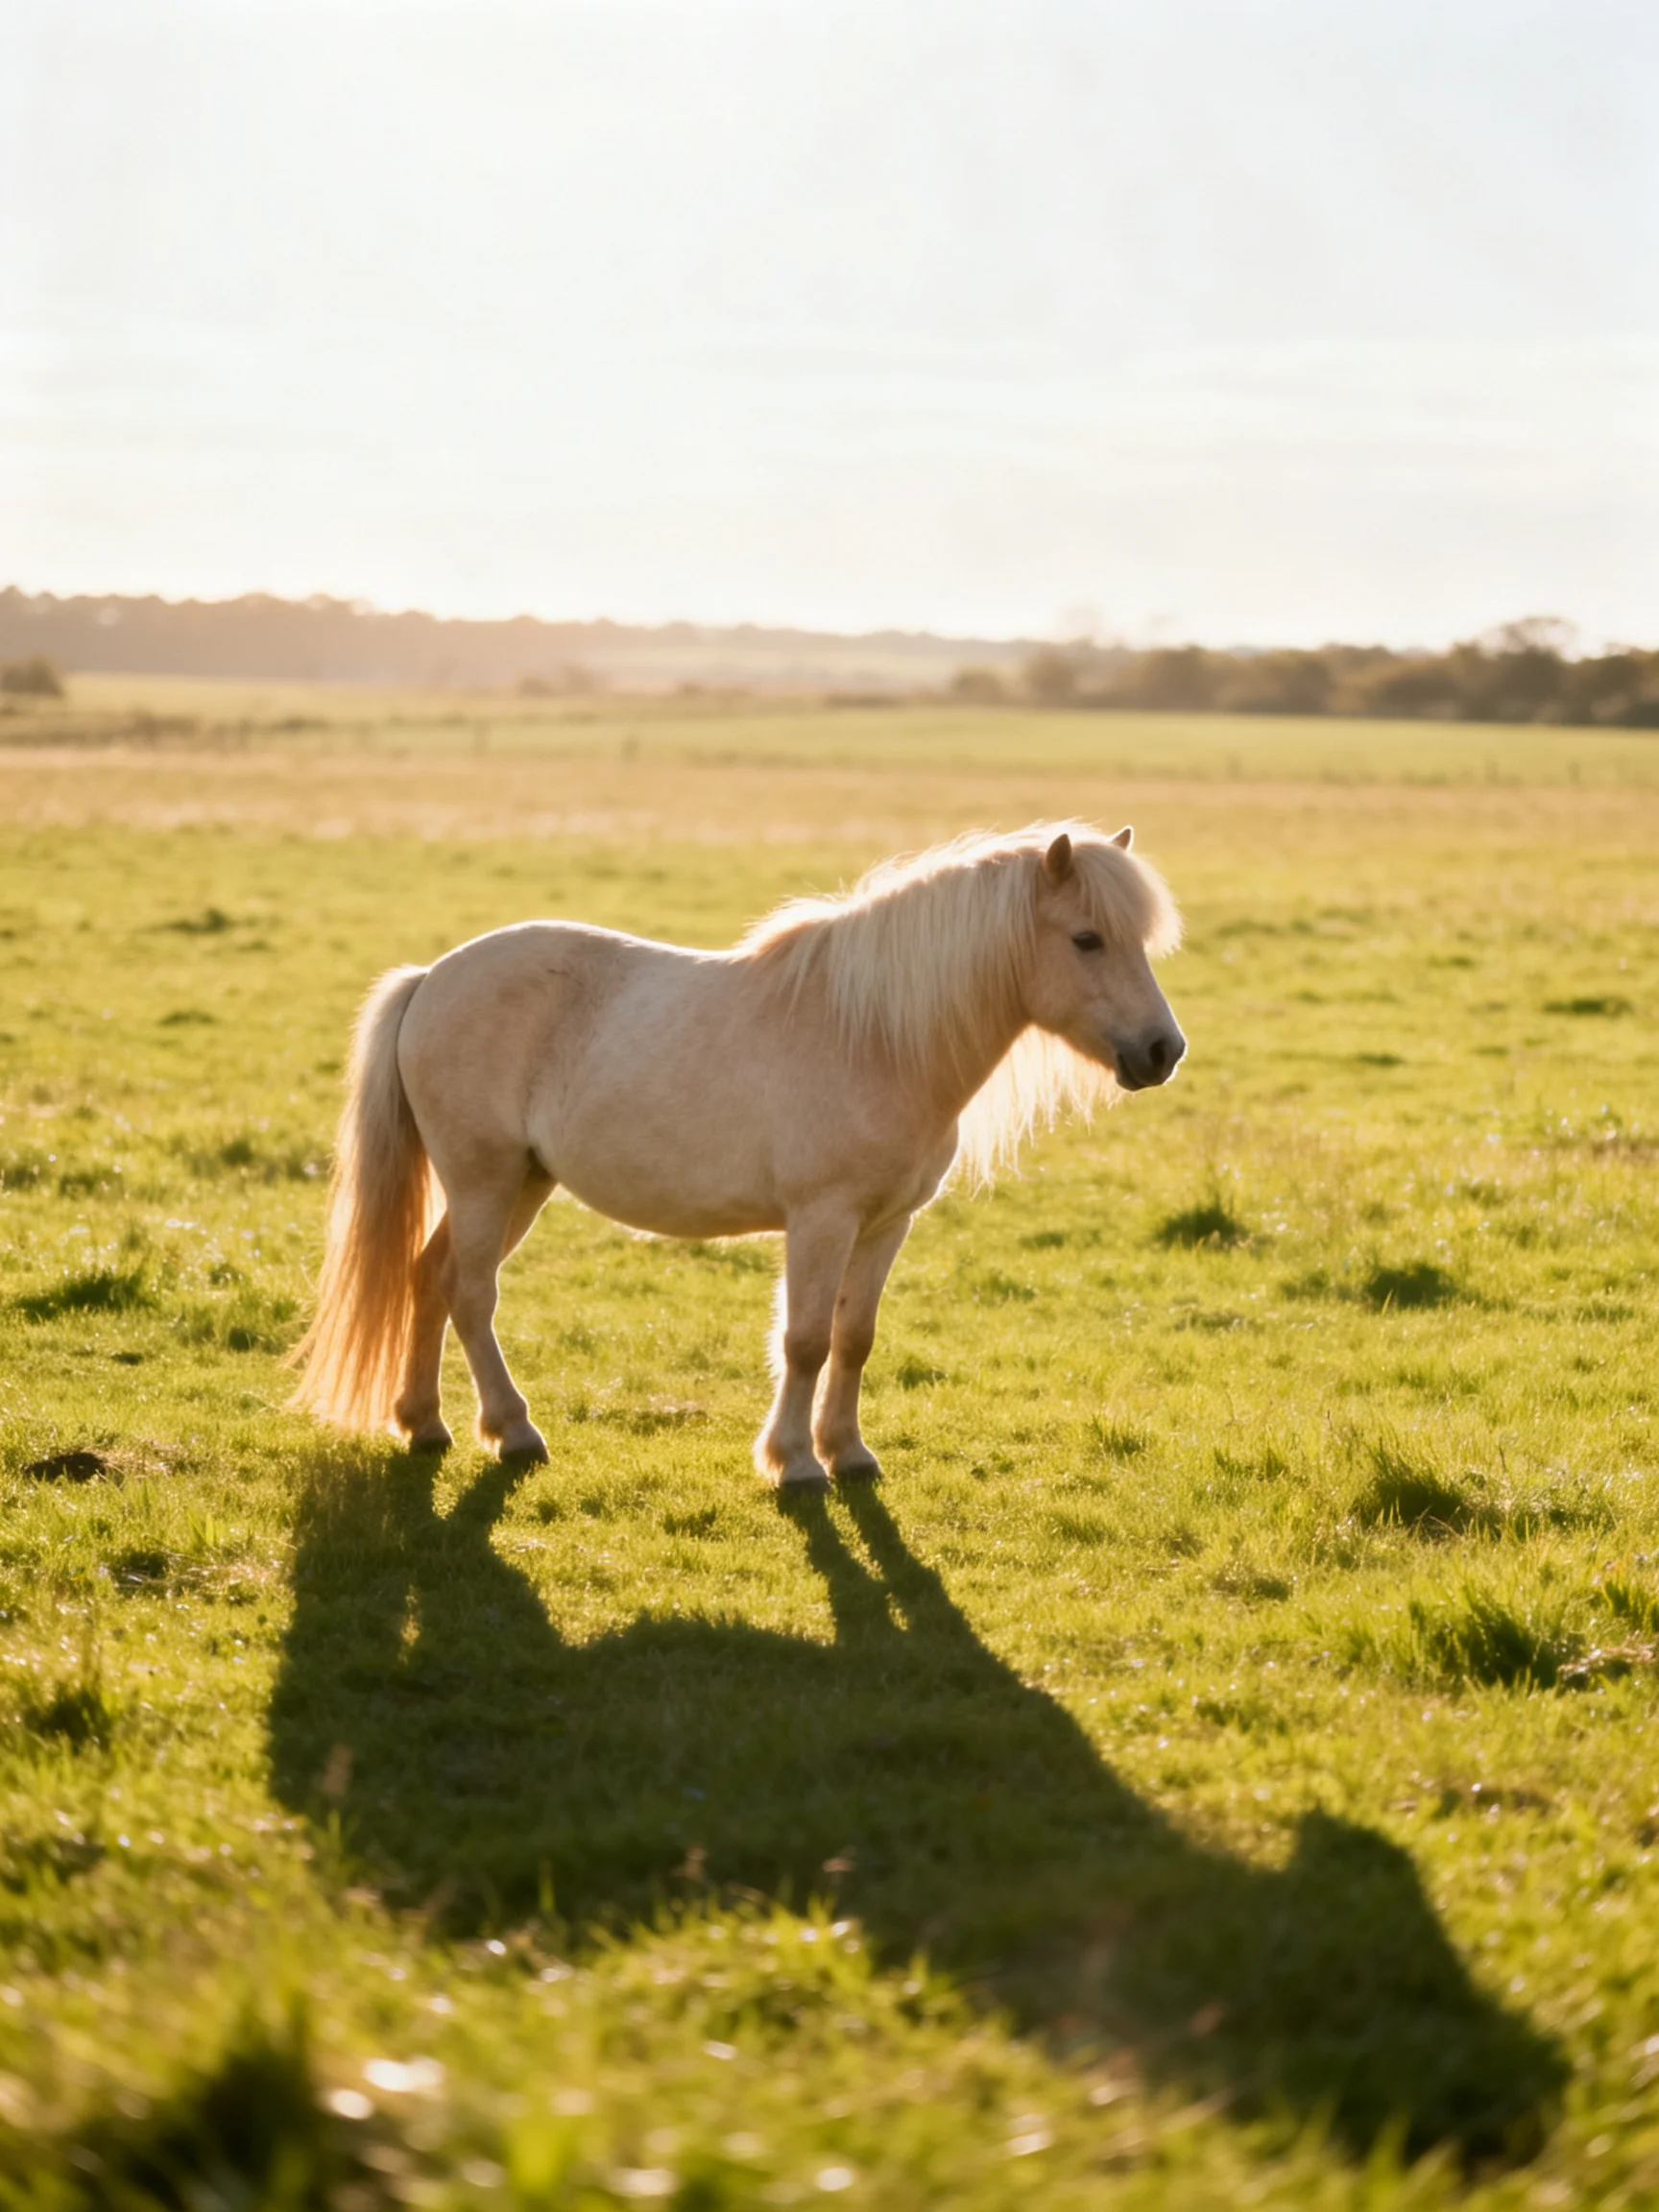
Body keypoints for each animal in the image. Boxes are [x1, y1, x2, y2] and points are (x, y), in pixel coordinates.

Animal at [289, 822, 1185, 1488]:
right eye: (1086, 939)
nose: (1162, 1051)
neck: (876, 1037)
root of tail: (431, 978)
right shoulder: (822, 1219)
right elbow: (807, 1339)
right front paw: (796, 1465)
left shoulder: (886, 1224)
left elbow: (855, 1337)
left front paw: (848, 1453)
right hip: (485, 1179)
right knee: (471, 1294)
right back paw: (513, 1433)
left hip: (521, 1185)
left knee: (429, 1277)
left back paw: (424, 1423)